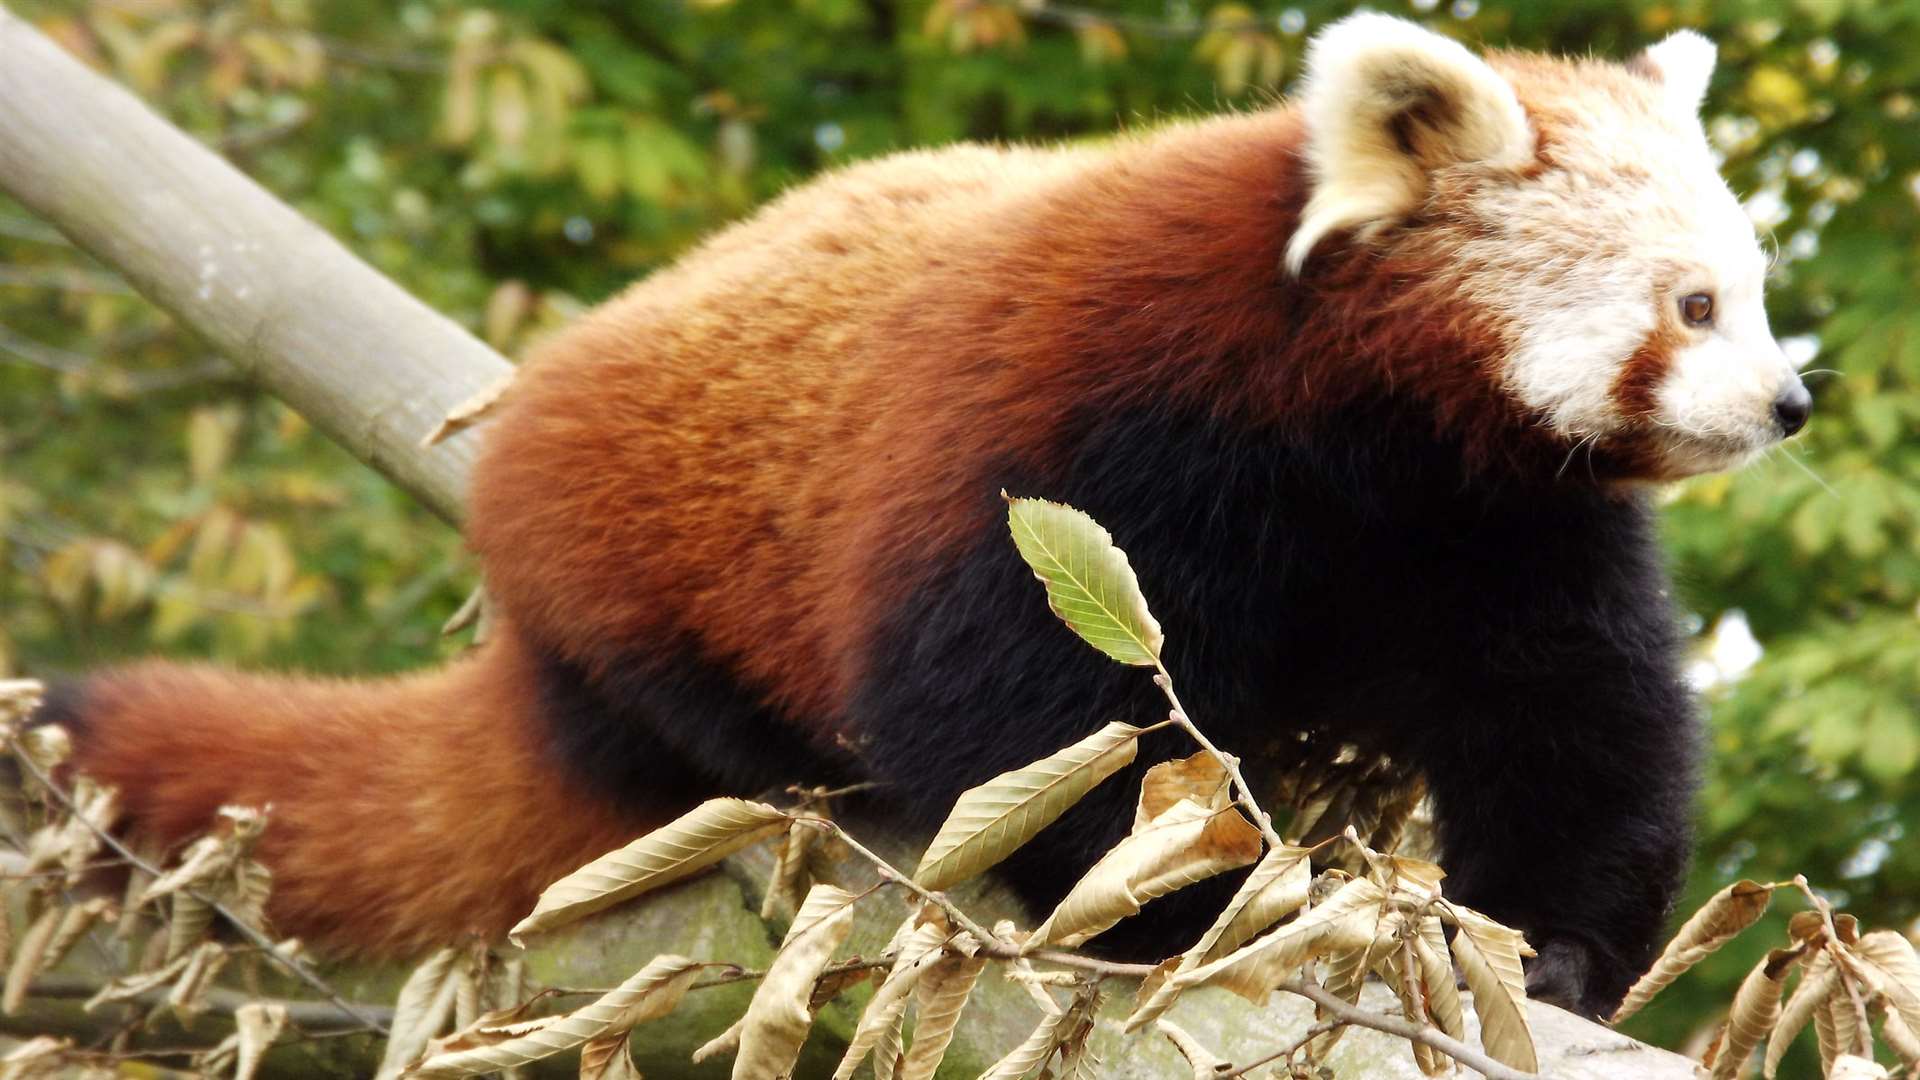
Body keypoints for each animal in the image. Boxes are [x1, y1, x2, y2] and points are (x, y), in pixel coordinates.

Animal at [33, 12, 1812, 1014]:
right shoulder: (1093, 441)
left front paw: (1551, 947)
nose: (1791, 404)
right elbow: (1021, 712)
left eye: (1756, 293)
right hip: (628, 562)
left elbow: (1575, 714)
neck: (1365, 433)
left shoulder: (1493, 518)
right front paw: (1185, 914)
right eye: (1694, 305)